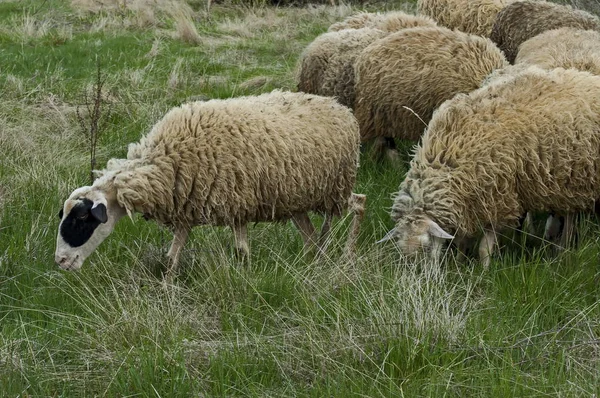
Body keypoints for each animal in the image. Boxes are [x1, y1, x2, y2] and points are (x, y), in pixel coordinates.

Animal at [55, 90, 360, 276]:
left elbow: (241, 252)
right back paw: (311, 264)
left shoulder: (237, 205)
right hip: (296, 199)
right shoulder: (187, 210)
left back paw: (347, 257)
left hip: (336, 188)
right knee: (310, 236)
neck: (165, 157)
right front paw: (167, 291)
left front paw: (244, 280)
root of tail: (340, 107)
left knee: (359, 204)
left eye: (81, 219)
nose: (60, 261)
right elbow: (173, 255)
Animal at [382, 66, 600, 268]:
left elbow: (484, 248)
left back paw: (563, 248)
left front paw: (485, 270)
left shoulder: (497, 199)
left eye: (426, 247)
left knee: (570, 218)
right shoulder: (469, 202)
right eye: (403, 250)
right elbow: (462, 240)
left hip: (578, 179)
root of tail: (585, 76)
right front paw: (461, 262)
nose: (420, 278)